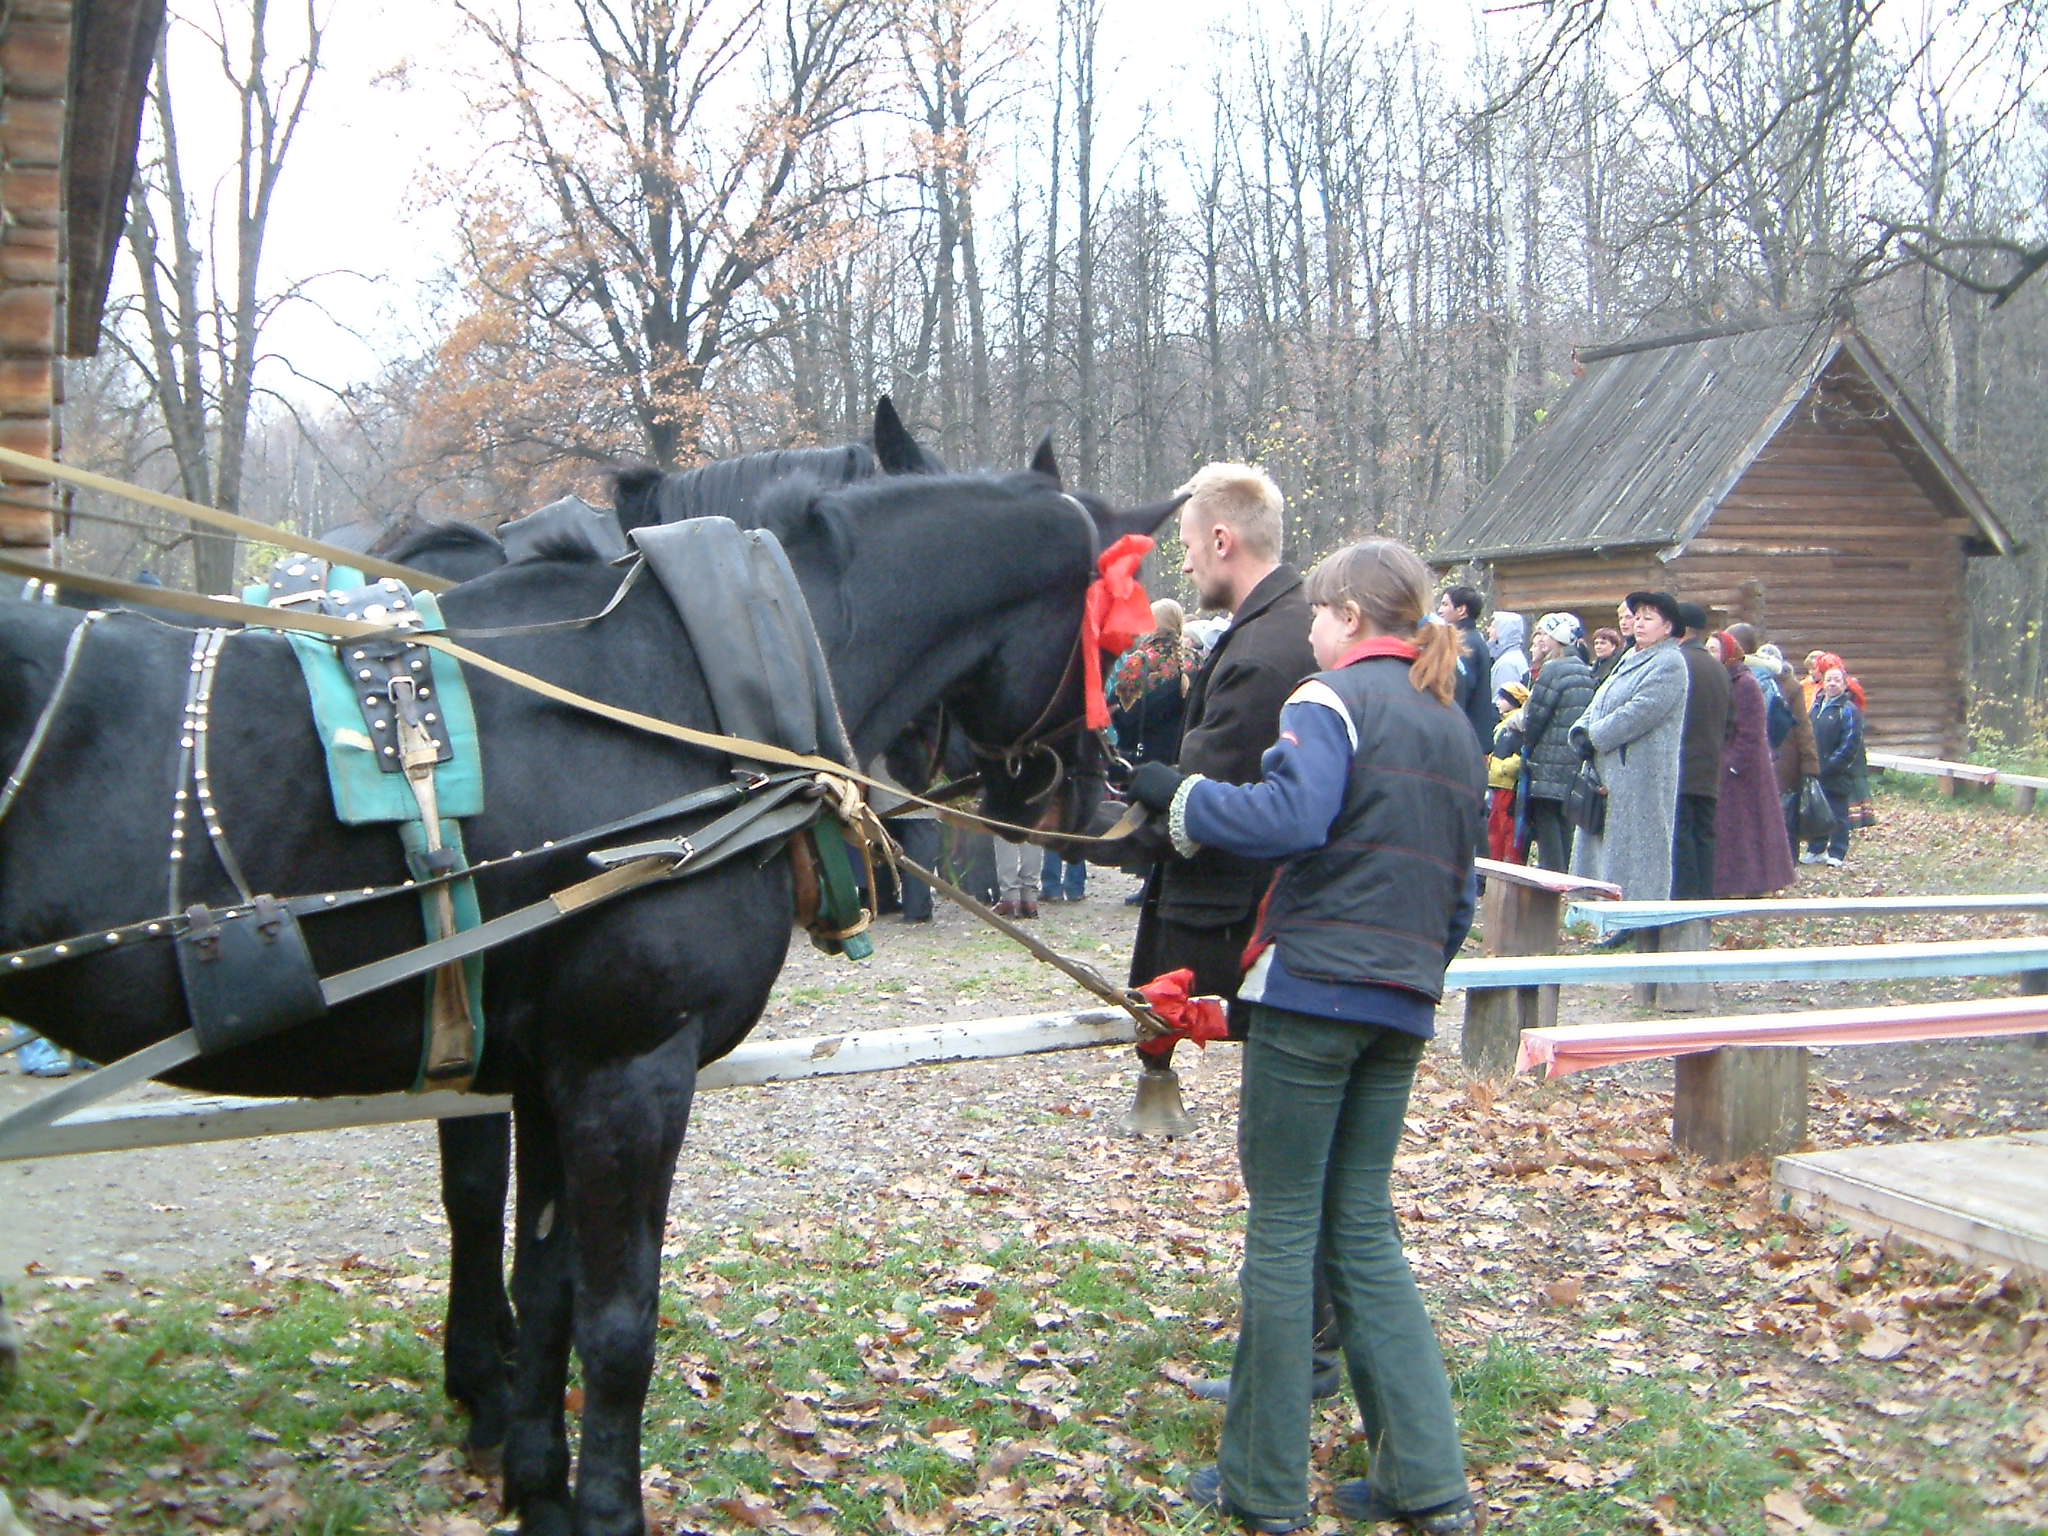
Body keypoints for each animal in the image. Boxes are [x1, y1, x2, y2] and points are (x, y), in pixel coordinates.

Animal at [0, 447, 1176, 1535]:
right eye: (1114, 639)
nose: (1090, 796)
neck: (680, 698)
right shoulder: (629, 1069)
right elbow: (616, 1319)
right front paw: (600, 1503)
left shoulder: (547, 1072)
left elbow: (546, 1281)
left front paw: (536, 1479)